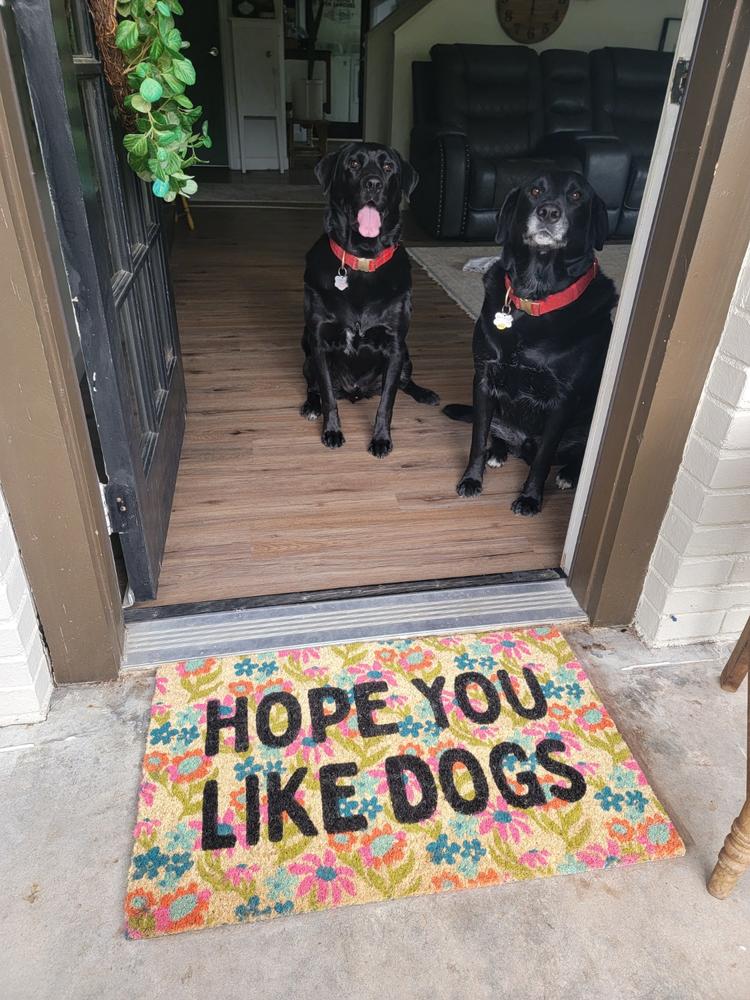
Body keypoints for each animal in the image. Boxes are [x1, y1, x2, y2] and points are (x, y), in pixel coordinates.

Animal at [302, 140, 440, 458]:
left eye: (388, 167)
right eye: (353, 164)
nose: (373, 183)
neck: (362, 261)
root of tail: (357, 392)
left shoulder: (395, 346)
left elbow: (387, 403)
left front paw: (380, 438)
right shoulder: (319, 342)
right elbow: (328, 396)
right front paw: (332, 431)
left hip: (407, 356)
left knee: (404, 383)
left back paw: (425, 393)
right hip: (307, 355)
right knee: (314, 387)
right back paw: (311, 405)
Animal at [446, 171, 616, 512]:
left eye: (576, 196)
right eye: (535, 191)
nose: (549, 212)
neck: (534, 298)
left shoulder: (563, 400)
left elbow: (543, 459)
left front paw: (530, 497)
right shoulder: (483, 379)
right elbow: (477, 439)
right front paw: (472, 479)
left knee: (565, 454)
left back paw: (568, 474)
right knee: (494, 434)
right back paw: (498, 452)